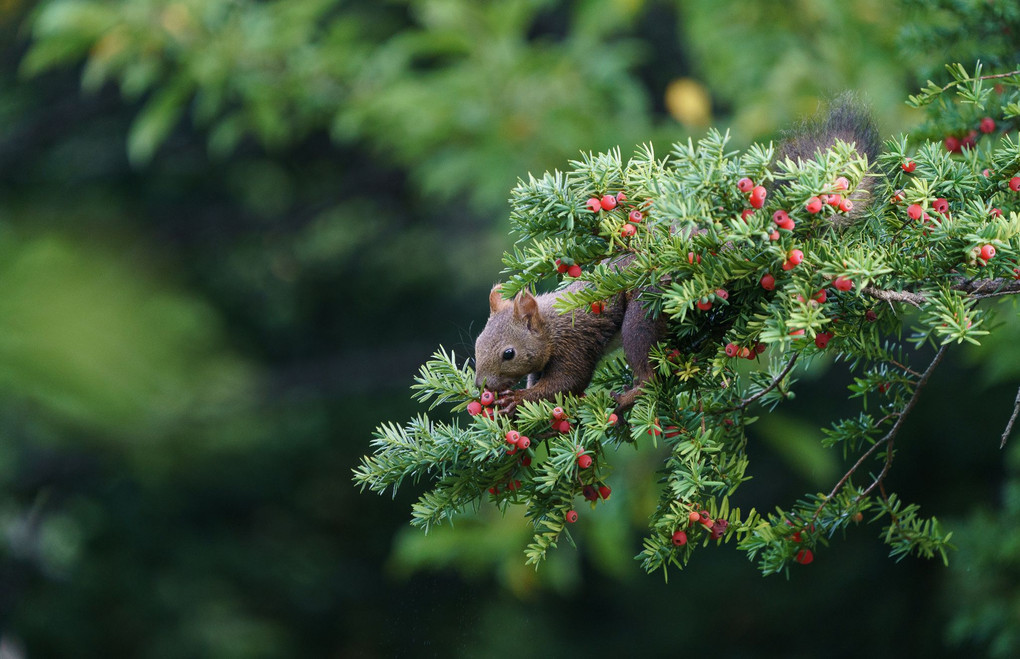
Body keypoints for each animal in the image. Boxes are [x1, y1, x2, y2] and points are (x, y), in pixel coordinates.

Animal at [473, 92, 881, 416]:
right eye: (477, 345)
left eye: (508, 353)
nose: (481, 387)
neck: (550, 326)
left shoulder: (575, 342)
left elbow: (566, 385)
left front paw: (517, 401)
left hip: (644, 312)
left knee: (647, 365)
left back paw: (632, 393)